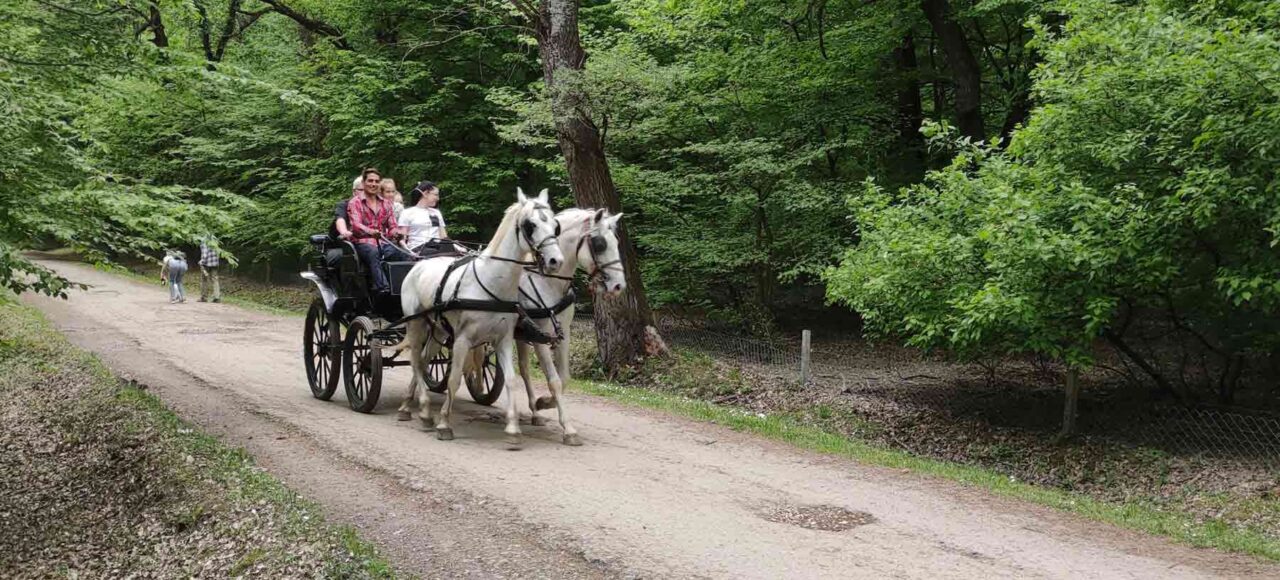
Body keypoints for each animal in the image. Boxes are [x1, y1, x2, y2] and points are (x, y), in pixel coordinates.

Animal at [396, 188, 563, 445]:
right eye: (530, 225)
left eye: (555, 225)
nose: (556, 261)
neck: (491, 282)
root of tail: (418, 264)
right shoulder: (462, 339)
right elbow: (454, 379)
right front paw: (444, 423)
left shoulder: (503, 340)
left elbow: (511, 379)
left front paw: (513, 428)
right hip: (416, 323)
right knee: (415, 360)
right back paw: (418, 407)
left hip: (439, 330)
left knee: (423, 361)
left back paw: (416, 408)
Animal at [514, 206, 624, 445]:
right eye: (600, 243)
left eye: (616, 241)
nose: (619, 285)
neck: (547, 281)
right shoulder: (540, 336)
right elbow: (554, 381)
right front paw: (569, 429)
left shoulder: (563, 333)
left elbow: (564, 379)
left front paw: (544, 403)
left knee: (524, 369)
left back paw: (535, 412)